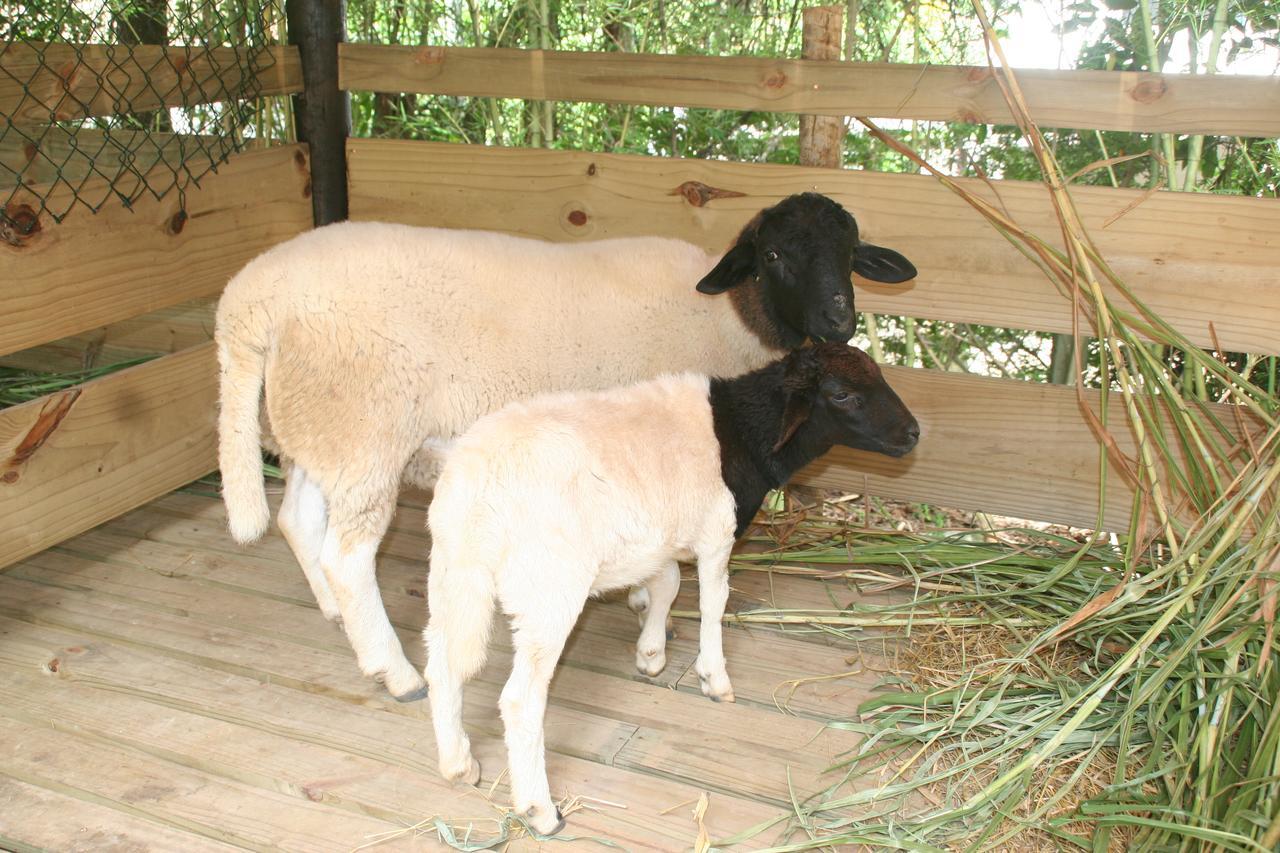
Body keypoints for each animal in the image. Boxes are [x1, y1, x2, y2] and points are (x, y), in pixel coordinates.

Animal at [222, 192, 921, 696]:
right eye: (773, 255)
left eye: (850, 250)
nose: (839, 318)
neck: (729, 313)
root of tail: (247, 300)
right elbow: (670, 570)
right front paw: (650, 612)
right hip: (368, 431)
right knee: (348, 559)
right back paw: (395, 672)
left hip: (321, 427)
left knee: (297, 519)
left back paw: (335, 614)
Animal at [424, 340, 916, 829]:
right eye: (842, 395)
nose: (913, 433)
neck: (740, 431)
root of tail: (478, 488)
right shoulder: (716, 532)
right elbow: (713, 602)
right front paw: (713, 676)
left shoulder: (658, 534)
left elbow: (667, 584)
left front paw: (651, 652)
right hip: (548, 589)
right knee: (520, 700)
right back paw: (540, 809)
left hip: (450, 573)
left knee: (443, 664)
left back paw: (458, 763)